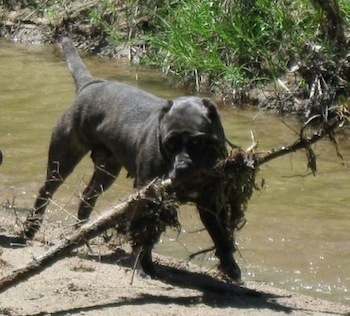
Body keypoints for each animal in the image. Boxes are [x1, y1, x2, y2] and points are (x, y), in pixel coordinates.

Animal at [24, 37, 242, 282]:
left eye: (196, 142)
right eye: (169, 144)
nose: (183, 168)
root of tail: (90, 84)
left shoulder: (211, 203)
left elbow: (221, 236)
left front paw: (230, 268)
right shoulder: (146, 196)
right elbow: (142, 234)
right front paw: (144, 267)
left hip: (107, 169)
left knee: (88, 196)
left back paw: (81, 233)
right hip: (64, 158)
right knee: (46, 191)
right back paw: (30, 229)